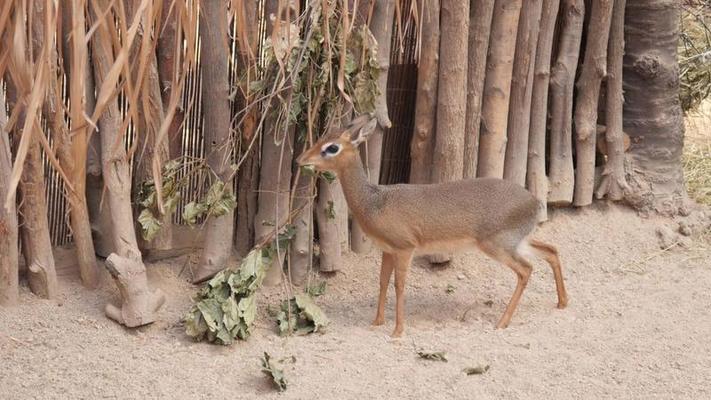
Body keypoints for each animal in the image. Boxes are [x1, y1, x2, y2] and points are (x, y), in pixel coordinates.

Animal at [298, 115, 572, 338]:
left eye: (332, 147)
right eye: (321, 137)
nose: (302, 160)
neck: (375, 202)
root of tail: (535, 202)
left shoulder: (405, 248)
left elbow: (399, 286)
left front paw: (398, 331)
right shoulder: (388, 250)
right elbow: (383, 282)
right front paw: (377, 322)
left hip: (498, 245)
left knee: (526, 270)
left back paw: (502, 322)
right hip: (518, 241)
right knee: (551, 251)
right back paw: (562, 303)